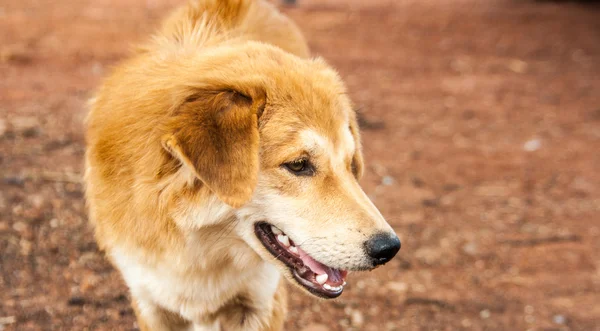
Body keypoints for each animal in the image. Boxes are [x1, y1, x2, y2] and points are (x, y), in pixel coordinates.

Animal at [84, 0, 400, 330]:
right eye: (298, 165)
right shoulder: (150, 301)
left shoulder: (260, 302)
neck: (198, 250)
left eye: (350, 165)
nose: (389, 249)